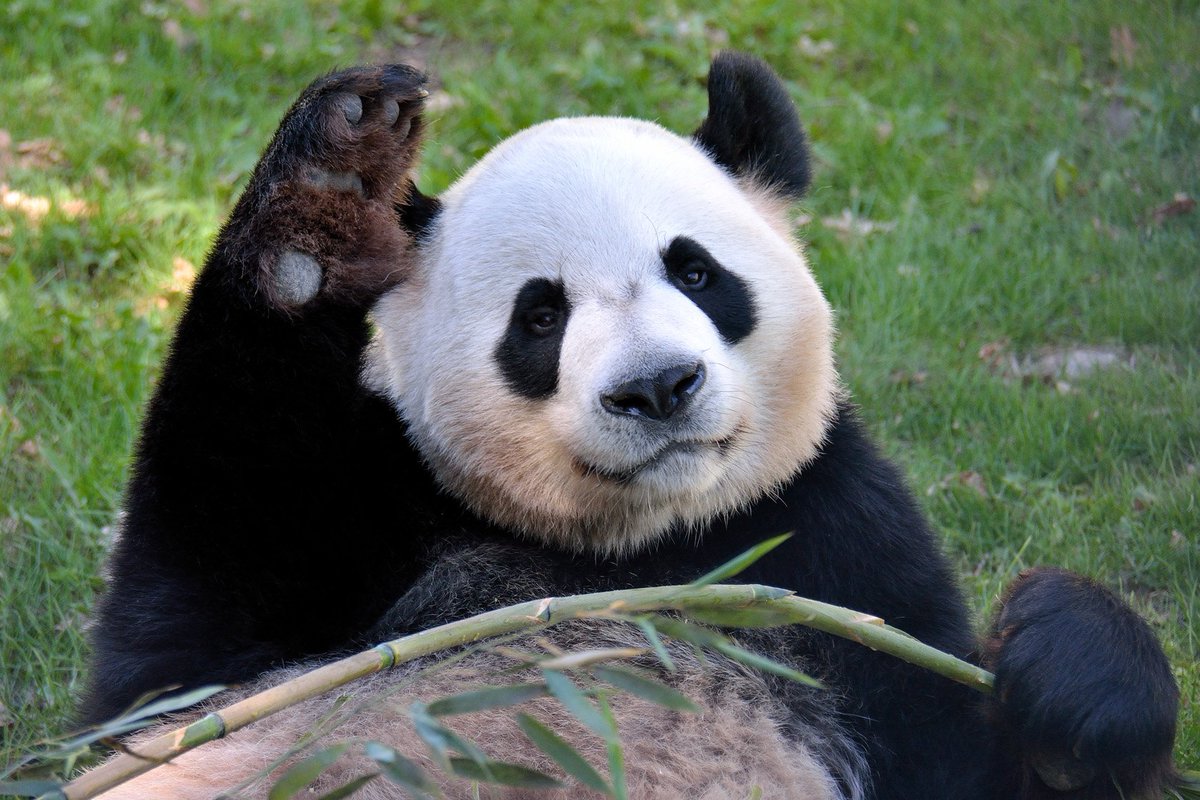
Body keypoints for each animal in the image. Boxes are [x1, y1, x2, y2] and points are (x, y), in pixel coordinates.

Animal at [80, 54, 1180, 799]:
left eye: (695, 270)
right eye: (540, 316)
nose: (657, 388)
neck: (644, 546)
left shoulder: (833, 542)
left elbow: (958, 753)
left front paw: (1072, 680)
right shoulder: (375, 517)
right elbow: (175, 664)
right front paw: (326, 196)